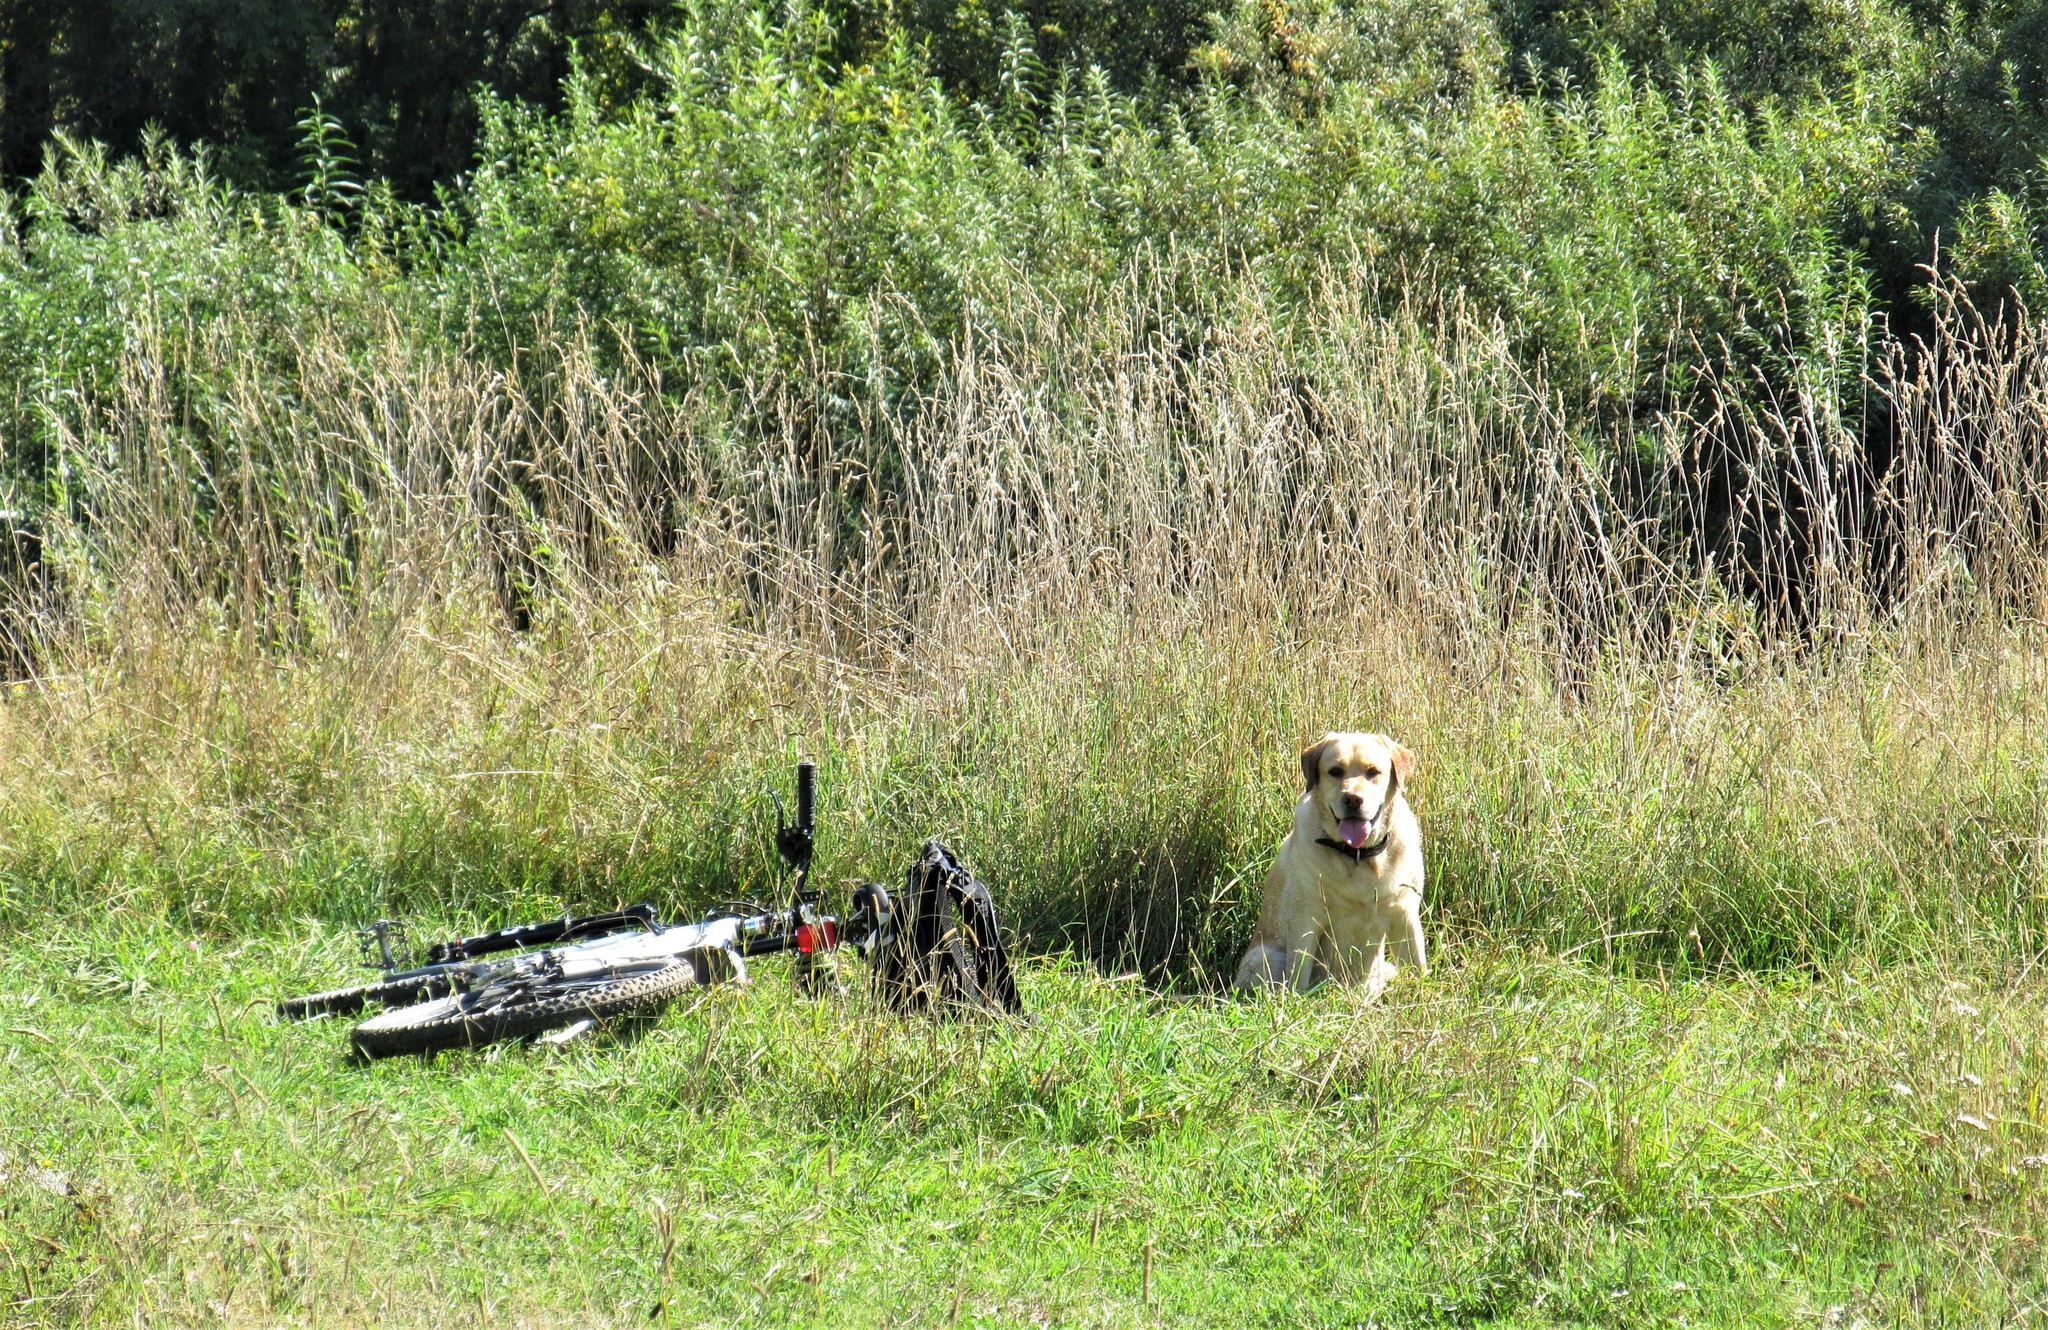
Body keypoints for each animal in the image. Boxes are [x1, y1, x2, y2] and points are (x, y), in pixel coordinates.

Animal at [1228, 729, 1425, 991]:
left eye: (1373, 771)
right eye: (1335, 771)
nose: (1352, 799)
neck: (1358, 856)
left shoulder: (1405, 913)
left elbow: (1418, 966)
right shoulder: (1305, 918)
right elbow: (1298, 976)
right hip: (1265, 957)